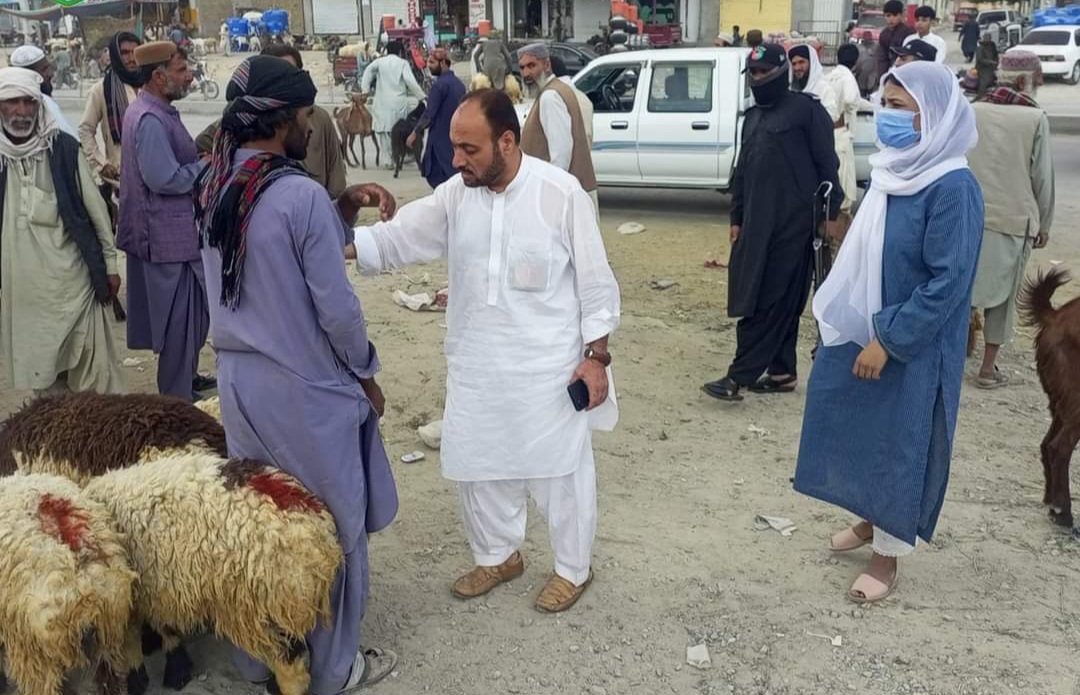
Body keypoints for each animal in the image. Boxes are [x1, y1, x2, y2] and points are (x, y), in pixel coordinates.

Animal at [83, 453, 343, 695]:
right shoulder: (163, 584)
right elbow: (164, 626)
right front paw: (174, 667)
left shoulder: (135, 594)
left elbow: (133, 638)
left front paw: (143, 678)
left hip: (261, 600)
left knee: (291, 660)